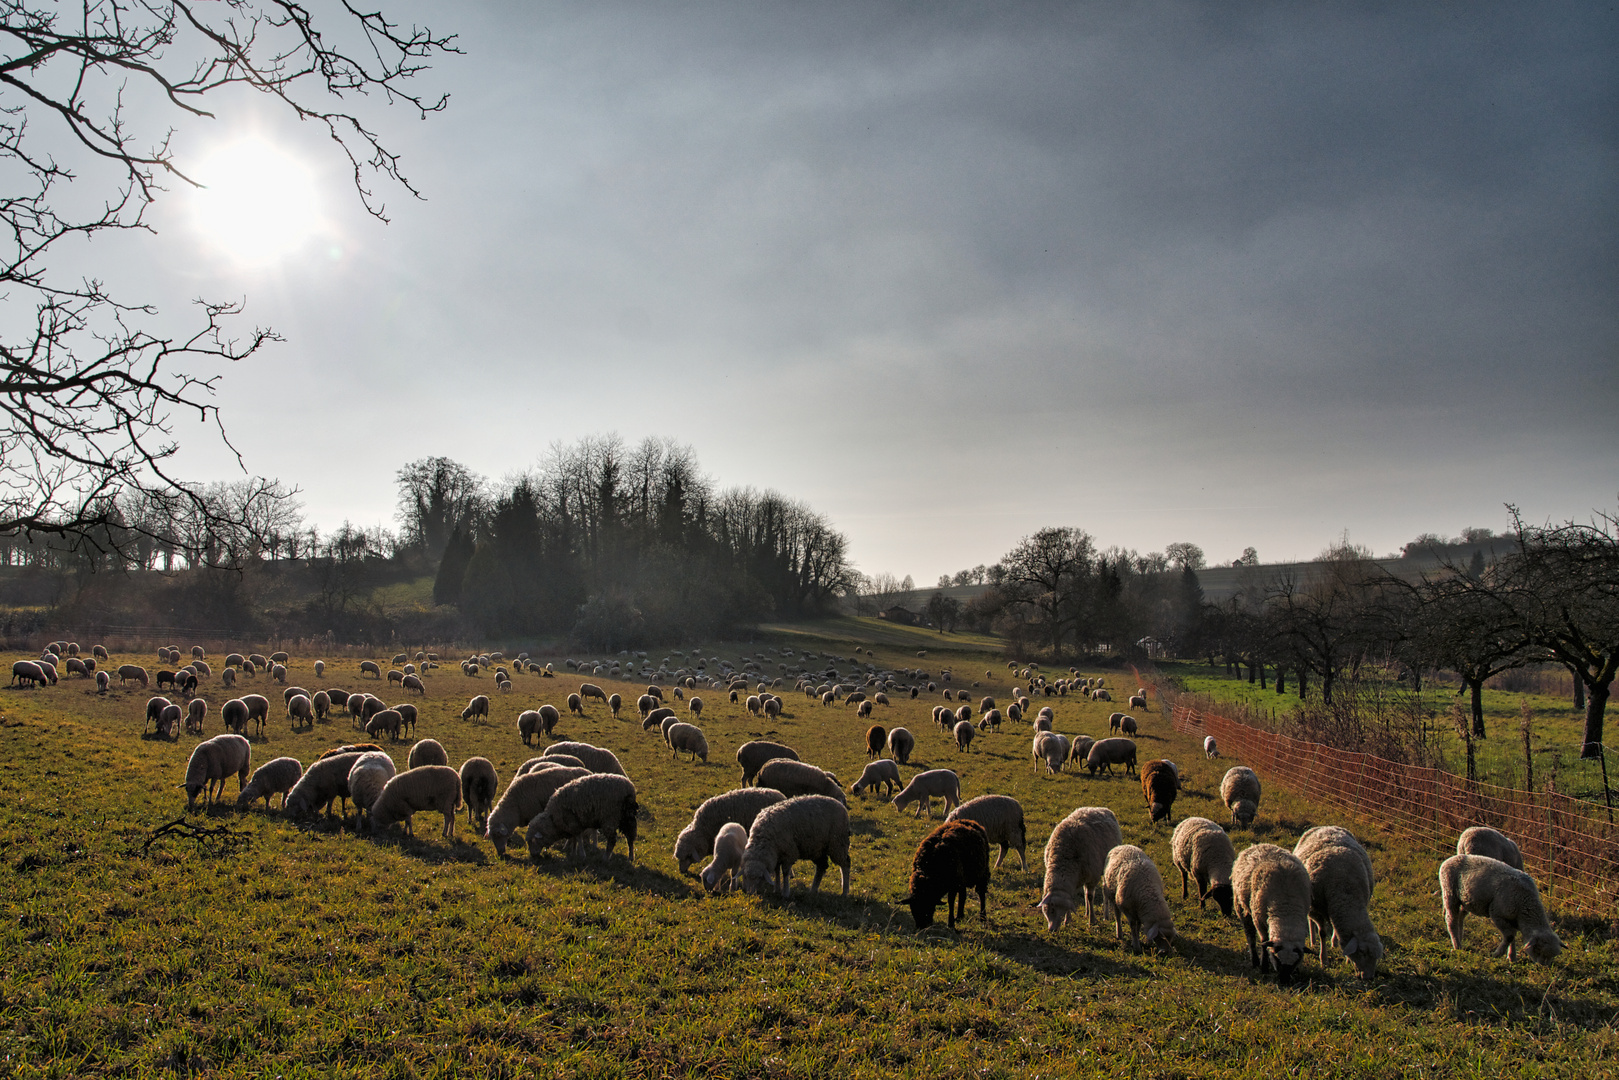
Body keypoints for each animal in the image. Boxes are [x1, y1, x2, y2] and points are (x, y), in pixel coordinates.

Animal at [1230, 841, 1321, 990]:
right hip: (1242, 908)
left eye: (1295, 962)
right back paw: (1255, 961)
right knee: (1250, 936)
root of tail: (1259, 844)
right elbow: (1264, 942)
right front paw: (1264, 967)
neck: (1287, 908)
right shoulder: (1260, 920)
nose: (1284, 982)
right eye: (1277, 959)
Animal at [1288, 829, 1379, 977]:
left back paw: (1334, 942)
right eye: (1361, 952)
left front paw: (1346, 959)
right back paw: (1313, 941)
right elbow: (1322, 933)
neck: (1346, 891)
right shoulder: (1316, 910)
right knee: (1310, 921)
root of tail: (1325, 827)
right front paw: (1324, 960)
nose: (1369, 978)